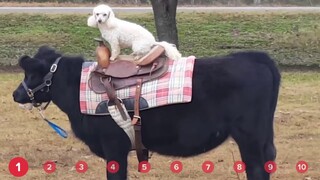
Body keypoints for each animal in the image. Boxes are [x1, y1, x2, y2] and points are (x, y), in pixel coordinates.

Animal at [13, 45, 280, 179]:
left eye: (32, 73)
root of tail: (253, 57)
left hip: (250, 137)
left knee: (256, 168)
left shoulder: (114, 148)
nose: (16, 94)